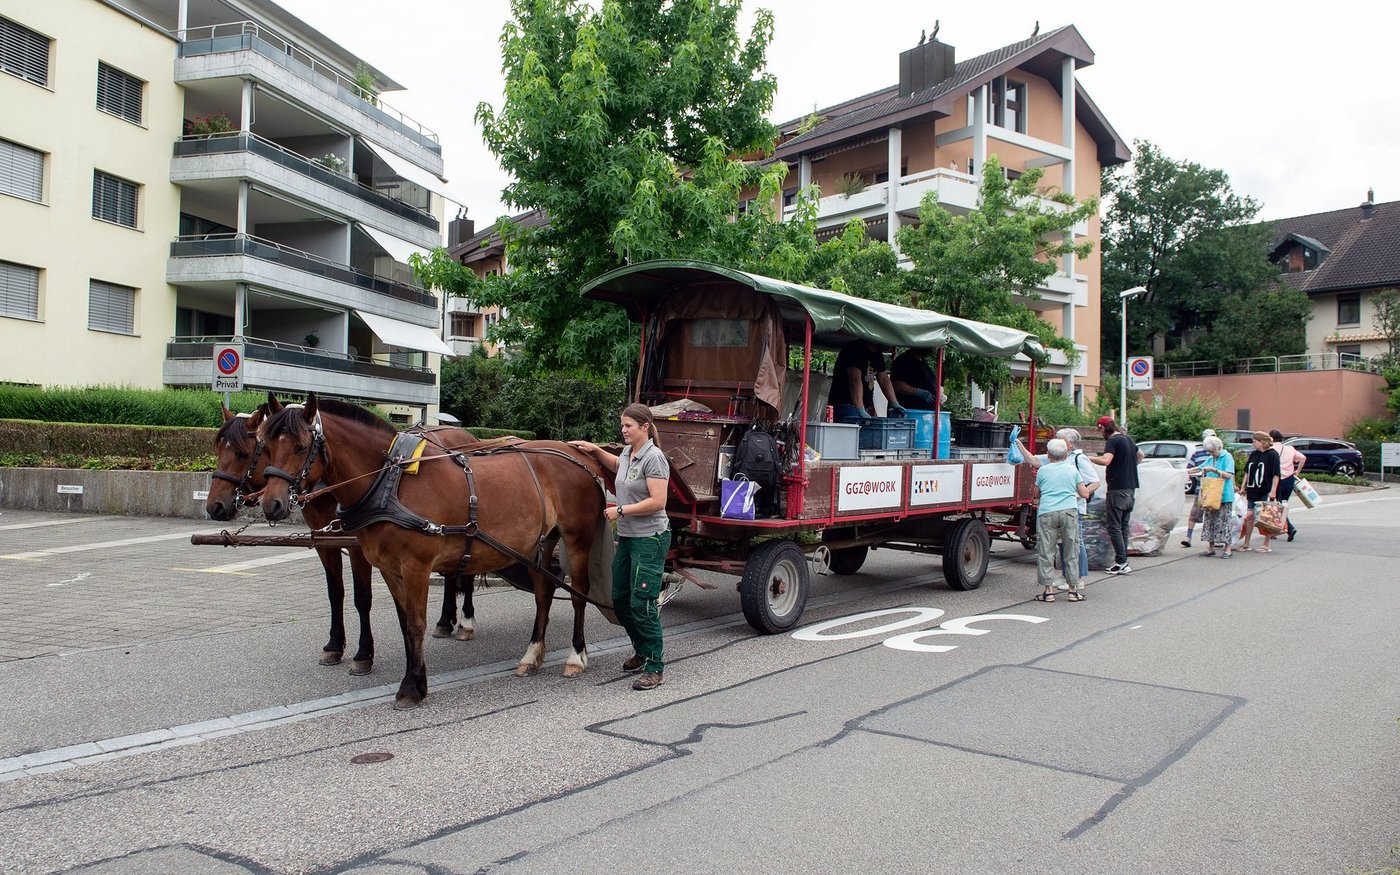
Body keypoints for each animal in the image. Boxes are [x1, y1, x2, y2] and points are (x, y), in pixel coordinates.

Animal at [205, 400, 481, 676]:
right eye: (218, 450)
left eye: (242, 453)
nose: (214, 506)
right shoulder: (326, 544)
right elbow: (335, 592)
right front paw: (334, 646)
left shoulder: (360, 548)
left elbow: (362, 597)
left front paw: (364, 654)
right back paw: (445, 621)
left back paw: (465, 620)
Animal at [256, 394, 606, 709]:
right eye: (266, 445)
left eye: (302, 447)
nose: (271, 504)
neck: (390, 482)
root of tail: (578, 454)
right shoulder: (389, 567)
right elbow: (404, 623)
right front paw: (416, 680)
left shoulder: (416, 566)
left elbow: (416, 623)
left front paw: (411, 687)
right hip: (542, 542)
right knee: (544, 593)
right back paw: (532, 655)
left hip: (576, 539)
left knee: (578, 594)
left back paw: (576, 655)